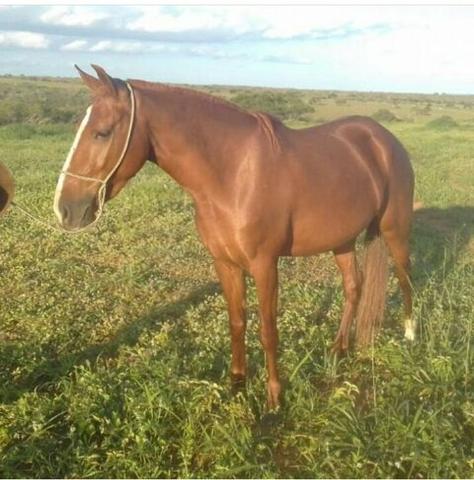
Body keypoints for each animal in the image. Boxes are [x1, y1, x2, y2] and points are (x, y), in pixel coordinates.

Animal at [53, 65, 412, 406]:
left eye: (102, 133)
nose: (65, 209)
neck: (233, 175)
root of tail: (383, 139)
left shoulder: (265, 265)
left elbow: (268, 331)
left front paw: (274, 397)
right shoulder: (225, 263)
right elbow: (237, 322)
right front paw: (237, 384)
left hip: (394, 230)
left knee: (405, 278)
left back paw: (409, 337)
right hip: (342, 241)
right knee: (354, 287)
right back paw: (338, 349)